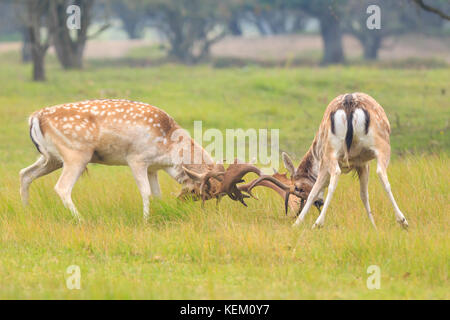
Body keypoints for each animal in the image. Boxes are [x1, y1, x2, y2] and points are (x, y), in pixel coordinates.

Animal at [20, 99, 260, 221]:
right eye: (201, 192)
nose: (180, 201)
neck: (169, 146)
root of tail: (35, 117)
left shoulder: (153, 168)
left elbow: (156, 193)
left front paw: (160, 213)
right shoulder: (136, 159)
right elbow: (145, 192)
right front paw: (145, 221)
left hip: (51, 158)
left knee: (25, 174)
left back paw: (27, 211)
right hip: (76, 155)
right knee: (62, 187)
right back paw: (81, 219)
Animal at [248, 92, 410, 230]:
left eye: (298, 188)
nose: (319, 203)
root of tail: (349, 103)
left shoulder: (345, 163)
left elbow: (320, 190)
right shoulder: (361, 163)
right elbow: (363, 194)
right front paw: (374, 226)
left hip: (336, 151)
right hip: (376, 146)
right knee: (377, 173)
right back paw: (403, 221)